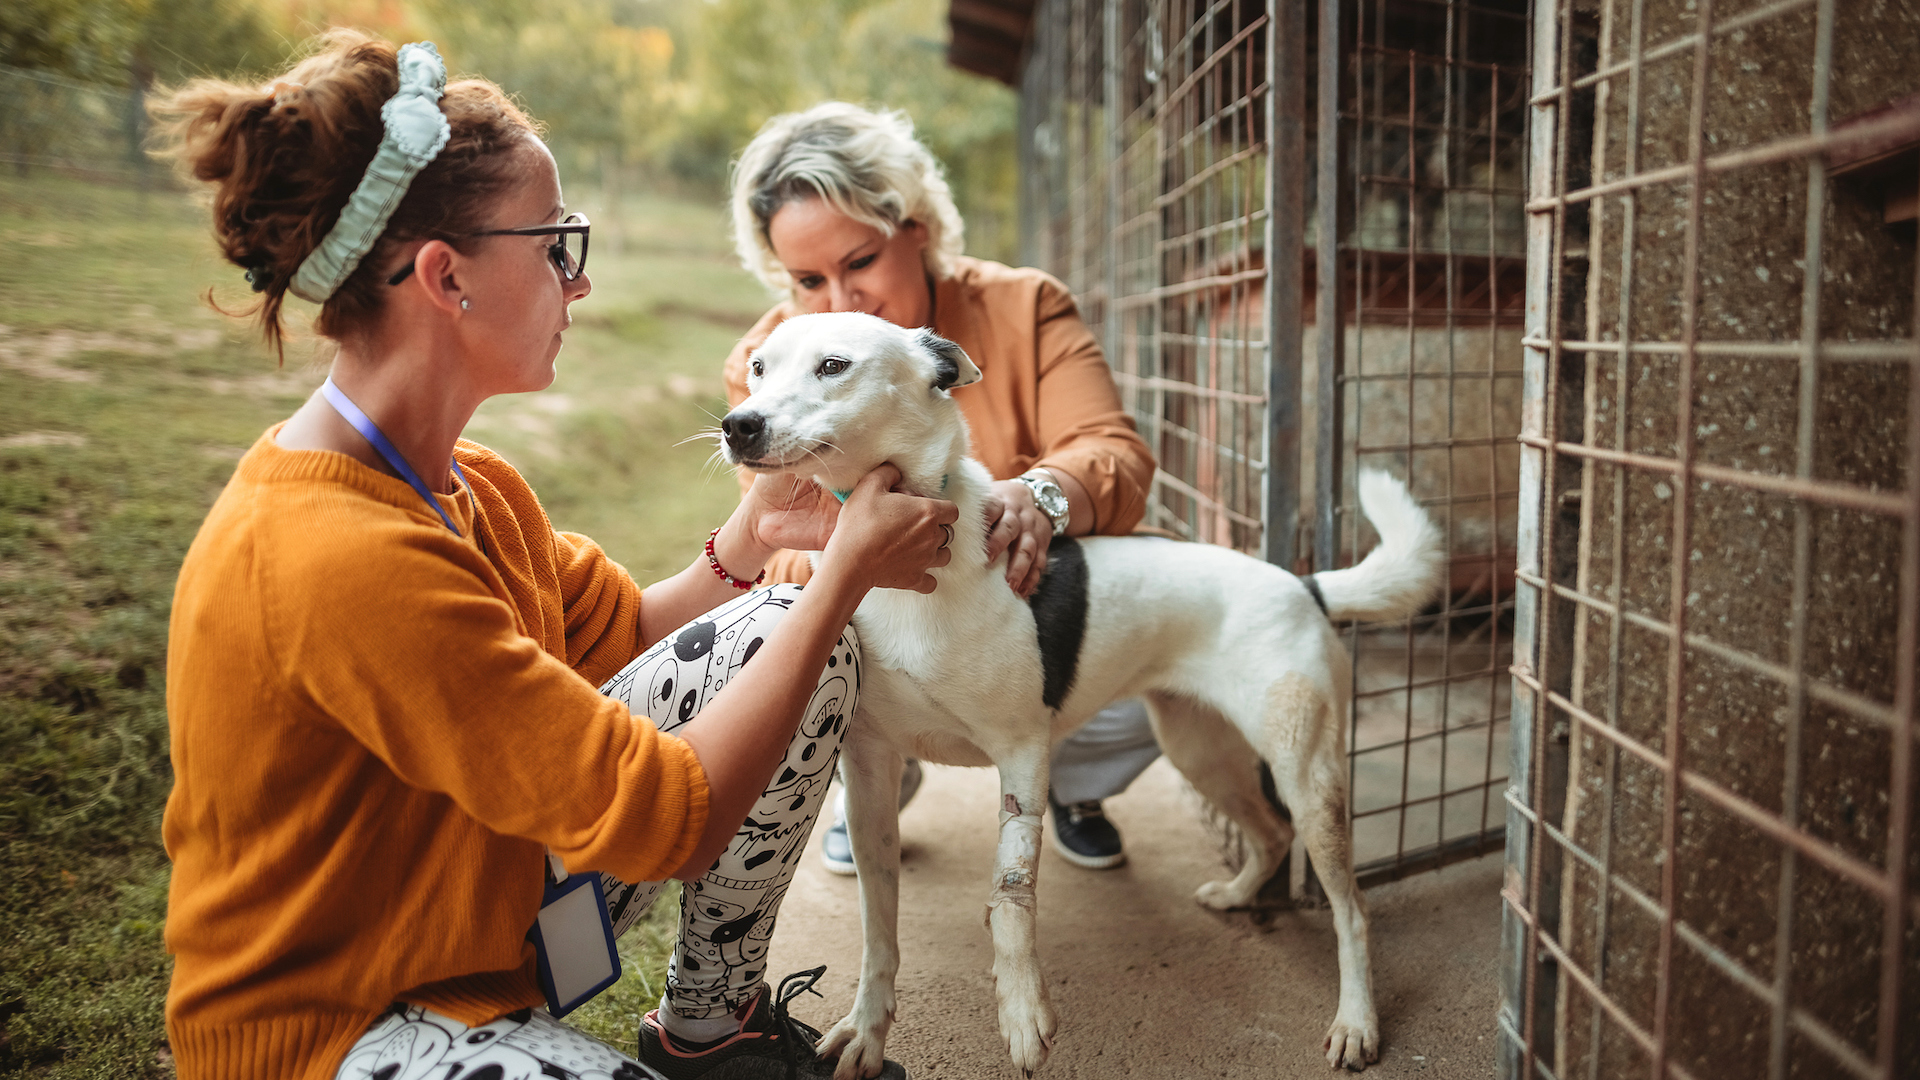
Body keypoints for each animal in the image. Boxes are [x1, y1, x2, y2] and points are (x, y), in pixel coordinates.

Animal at [721, 309, 1443, 1068]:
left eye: (834, 366)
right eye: (760, 368)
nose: (737, 425)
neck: (904, 573)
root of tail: (1304, 585)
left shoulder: (1022, 755)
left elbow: (1013, 895)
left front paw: (1021, 1013)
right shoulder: (868, 769)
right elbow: (878, 926)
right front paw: (866, 1029)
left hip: (1308, 776)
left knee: (1351, 909)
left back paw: (1357, 1023)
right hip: (1199, 750)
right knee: (1271, 835)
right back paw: (1241, 894)